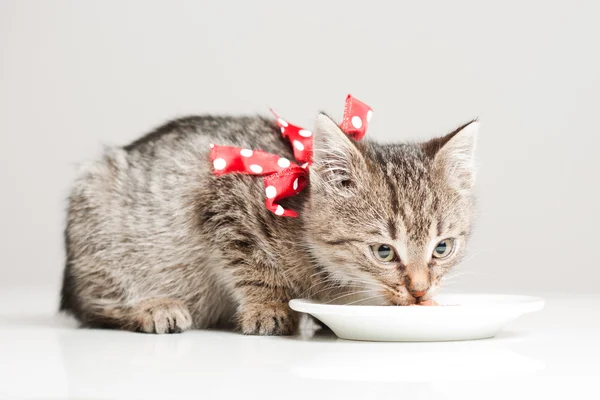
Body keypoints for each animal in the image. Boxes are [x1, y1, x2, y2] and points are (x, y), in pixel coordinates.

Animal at [61, 110, 478, 334]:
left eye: (442, 248)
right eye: (383, 252)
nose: (420, 291)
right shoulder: (224, 195)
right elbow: (250, 263)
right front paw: (268, 308)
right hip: (97, 226)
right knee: (93, 304)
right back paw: (152, 308)